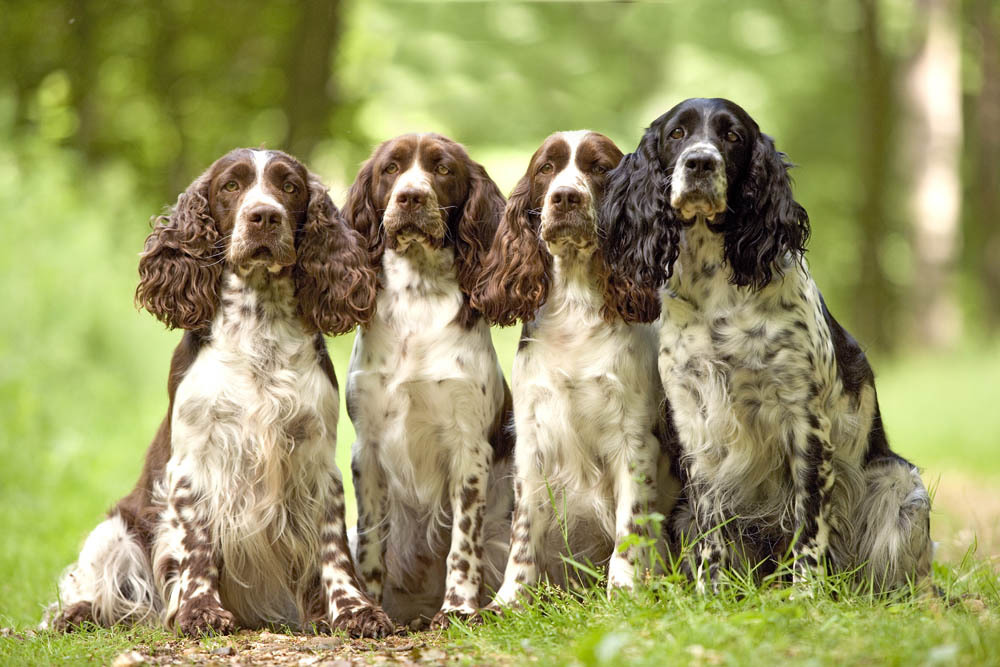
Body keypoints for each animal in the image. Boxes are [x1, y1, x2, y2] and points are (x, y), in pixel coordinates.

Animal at [45, 147, 392, 636]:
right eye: (231, 185)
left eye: (289, 187)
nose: (264, 216)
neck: (259, 328)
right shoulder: (194, 462)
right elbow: (196, 543)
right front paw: (199, 610)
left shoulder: (316, 459)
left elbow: (332, 546)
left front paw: (353, 610)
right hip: (115, 529)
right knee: (100, 586)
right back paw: (80, 613)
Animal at [344, 133, 516, 628]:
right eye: (391, 169)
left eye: (442, 169)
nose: (410, 197)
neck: (417, 301)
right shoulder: (367, 448)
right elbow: (370, 542)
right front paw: (370, 608)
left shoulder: (469, 446)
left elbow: (462, 542)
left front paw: (457, 607)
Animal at [474, 129, 684, 604]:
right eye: (546, 168)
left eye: (600, 167)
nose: (565, 196)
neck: (575, 303)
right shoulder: (532, 436)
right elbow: (523, 531)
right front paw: (510, 599)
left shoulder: (634, 438)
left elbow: (630, 526)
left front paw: (623, 591)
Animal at [600, 98, 936, 588]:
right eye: (677, 134)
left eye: (733, 136)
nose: (700, 162)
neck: (716, 293)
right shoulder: (696, 421)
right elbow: (711, 527)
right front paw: (709, 592)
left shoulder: (805, 421)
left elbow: (809, 524)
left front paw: (806, 595)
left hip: (900, 486)